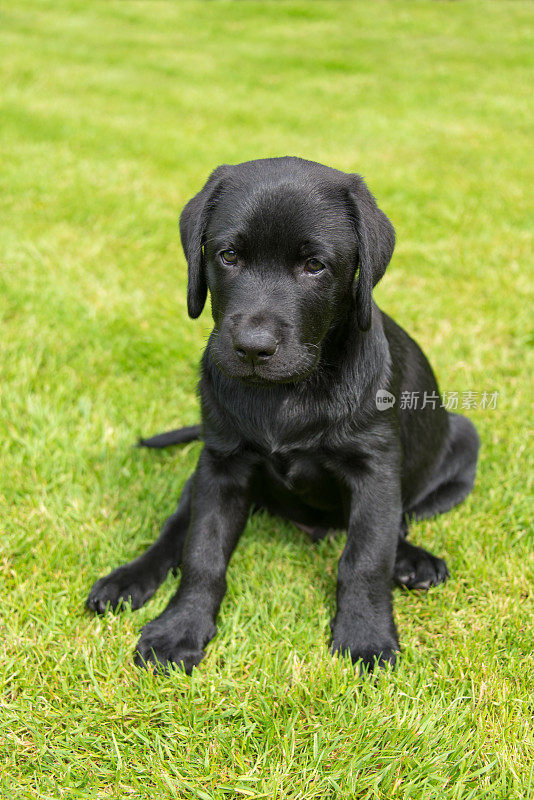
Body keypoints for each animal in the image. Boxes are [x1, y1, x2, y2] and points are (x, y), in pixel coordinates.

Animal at [88, 158, 482, 676]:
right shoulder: (222, 465)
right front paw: (181, 627)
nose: (252, 348)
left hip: (464, 438)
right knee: (175, 528)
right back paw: (128, 578)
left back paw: (412, 561)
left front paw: (365, 636)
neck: (289, 395)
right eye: (228, 255)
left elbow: (365, 558)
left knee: (401, 522)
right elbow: (202, 553)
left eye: (314, 265)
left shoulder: (375, 470)